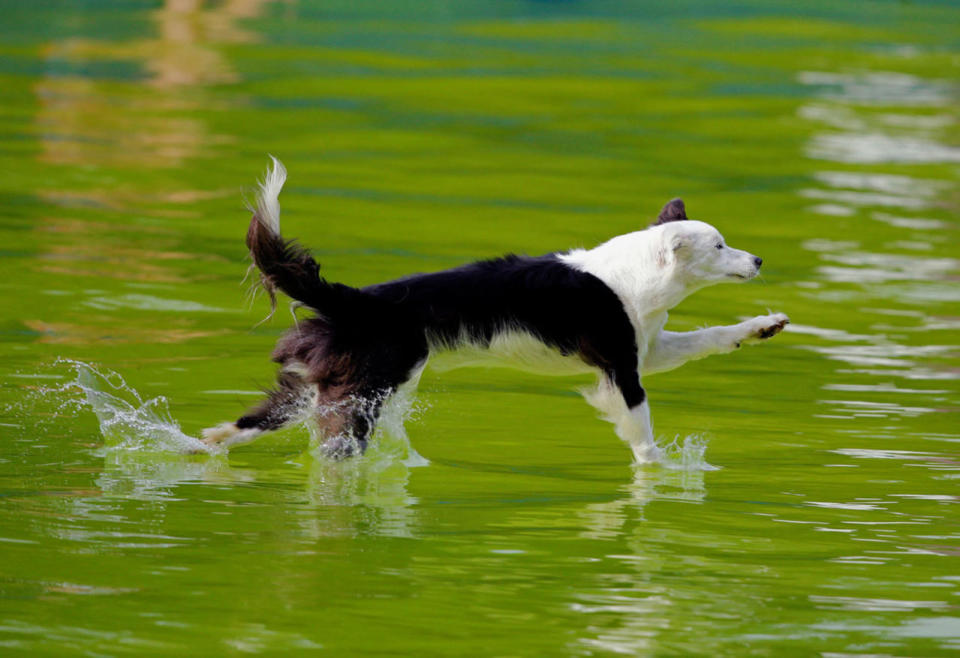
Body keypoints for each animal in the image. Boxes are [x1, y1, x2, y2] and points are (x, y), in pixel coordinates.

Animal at [202, 158, 788, 462]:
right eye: (719, 246)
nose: (759, 259)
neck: (635, 274)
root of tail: (356, 299)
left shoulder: (650, 346)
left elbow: (711, 337)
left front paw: (766, 326)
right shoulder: (621, 365)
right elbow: (640, 428)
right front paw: (658, 474)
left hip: (321, 384)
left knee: (252, 420)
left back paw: (204, 447)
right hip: (366, 389)